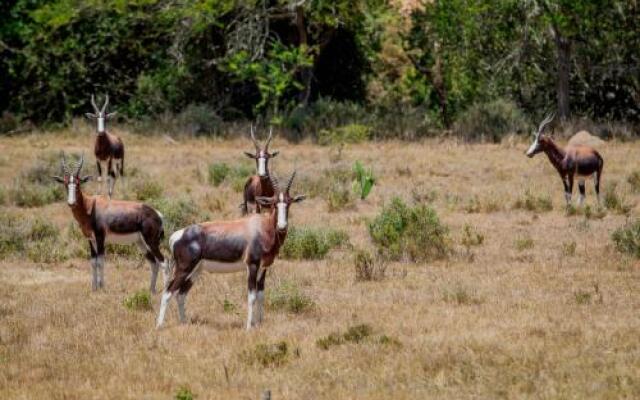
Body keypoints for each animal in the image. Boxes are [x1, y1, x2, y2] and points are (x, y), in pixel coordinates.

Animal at [52, 152, 168, 290]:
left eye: (78, 183)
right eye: (65, 183)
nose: (71, 203)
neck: (91, 205)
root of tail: (158, 214)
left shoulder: (100, 237)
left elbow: (101, 261)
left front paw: (101, 287)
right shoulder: (91, 240)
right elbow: (93, 262)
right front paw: (94, 288)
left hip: (151, 242)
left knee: (164, 262)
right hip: (141, 243)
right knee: (154, 263)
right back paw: (151, 290)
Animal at [156, 170, 304, 330]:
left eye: (289, 203)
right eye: (274, 204)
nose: (282, 227)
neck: (261, 227)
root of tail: (176, 236)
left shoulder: (263, 268)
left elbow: (261, 295)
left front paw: (259, 323)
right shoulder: (252, 265)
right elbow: (252, 296)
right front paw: (249, 327)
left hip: (196, 270)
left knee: (181, 294)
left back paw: (184, 322)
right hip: (184, 268)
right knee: (168, 292)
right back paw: (159, 325)